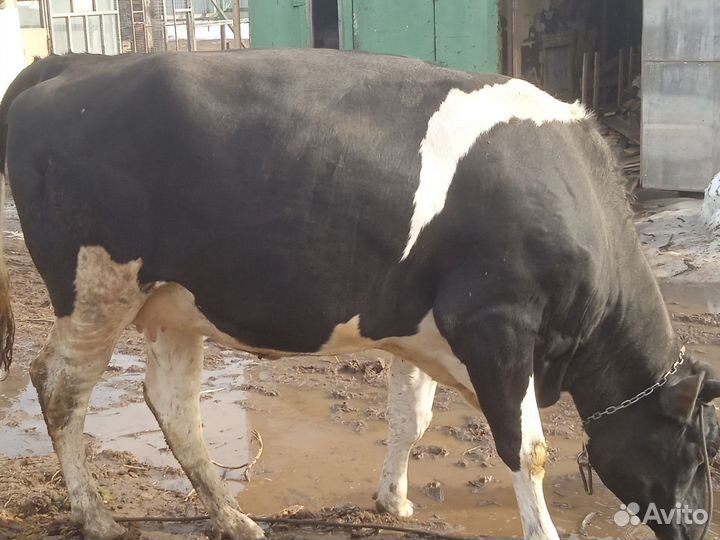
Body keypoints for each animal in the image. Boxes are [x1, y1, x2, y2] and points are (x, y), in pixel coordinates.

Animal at [1, 50, 719, 540]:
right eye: (697, 446)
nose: (695, 525)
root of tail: (68, 65)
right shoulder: (497, 321)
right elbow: (528, 449)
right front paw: (542, 530)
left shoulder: (421, 326)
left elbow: (411, 417)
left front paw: (392, 499)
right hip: (97, 287)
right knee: (59, 386)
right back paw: (96, 516)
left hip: (173, 303)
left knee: (174, 407)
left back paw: (233, 518)